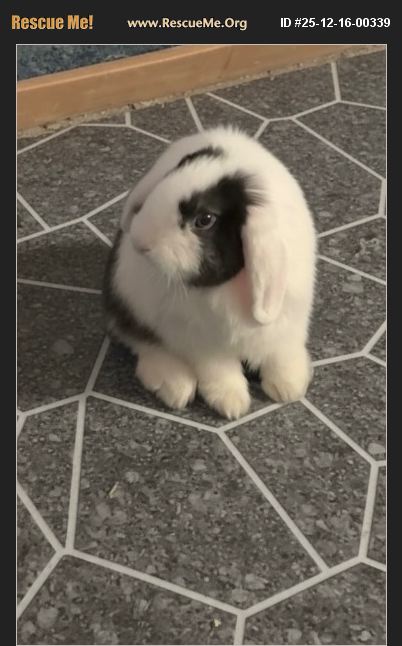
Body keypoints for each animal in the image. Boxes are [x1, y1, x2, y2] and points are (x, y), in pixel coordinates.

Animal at [103, 126, 317, 420]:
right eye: (166, 181)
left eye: (204, 220)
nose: (140, 242)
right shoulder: (201, 342)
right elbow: (218, 370)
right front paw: (231, 403)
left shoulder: (288, 322)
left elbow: (282, 353)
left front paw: (289, 387)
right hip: (132, 304)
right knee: (140, 340)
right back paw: (175, 386)